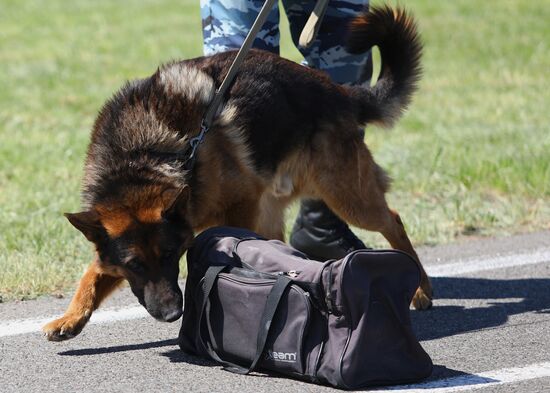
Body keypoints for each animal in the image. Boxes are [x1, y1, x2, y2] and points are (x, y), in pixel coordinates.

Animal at [43, 7, 434, 342]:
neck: (140, 160)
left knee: (393, 220)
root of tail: (339, 91)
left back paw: (420, 287)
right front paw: (71, 316)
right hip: (282, 206)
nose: (171, 314)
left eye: (170, 256)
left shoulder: (240, 205)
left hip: (346, 197)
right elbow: (94, 271)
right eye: (134, 264)